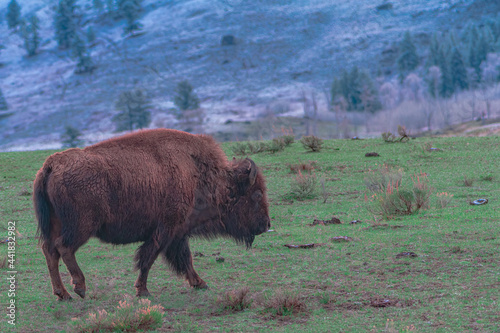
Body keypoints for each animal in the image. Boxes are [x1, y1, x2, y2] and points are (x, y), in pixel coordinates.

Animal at [33, 128, 272, 300]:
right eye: (257, 194)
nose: (267, 224)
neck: (198, 173)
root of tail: (51, 165)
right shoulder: (166, 230)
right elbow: (149, 258)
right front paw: (143, 291)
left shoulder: (178, 233)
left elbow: (185, 259)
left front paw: (200, 283)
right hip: (82, 226)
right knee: (64, 248)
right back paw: (80, 287)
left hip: (56, 224)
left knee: (50, 250)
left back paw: (63, 294)